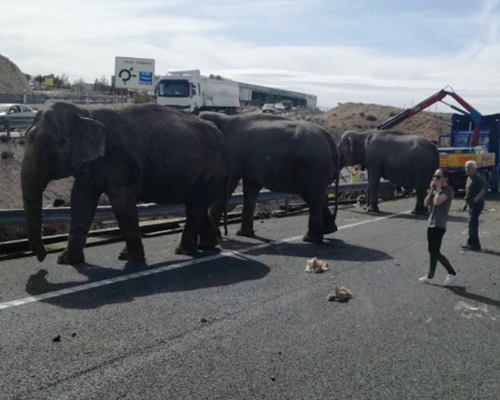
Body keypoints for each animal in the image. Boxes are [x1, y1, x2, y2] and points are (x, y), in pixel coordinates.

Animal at [21, 100, 229, 264]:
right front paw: (67, 261)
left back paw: (183, 250)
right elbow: (81, 200)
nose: (42, 257)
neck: (85, 112)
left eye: (60, 142)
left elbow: (121, 201)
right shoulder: (91, 165)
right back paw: (206, 245)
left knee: (195, 205)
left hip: (210, 169)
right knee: (195, 205)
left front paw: (131, 257)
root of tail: (220, 134)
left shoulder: (120, 161)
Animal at [198, 112, 340, 244]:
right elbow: (251, 188)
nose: (224, 234)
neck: (223, 118)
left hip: (313, 168)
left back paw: (310, 239)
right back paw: (329, 230)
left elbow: (229, 186)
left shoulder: (232, 156)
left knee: (312, 197)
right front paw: (244, 234)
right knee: (315, 197)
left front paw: (218, 235)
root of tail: (329, 138)